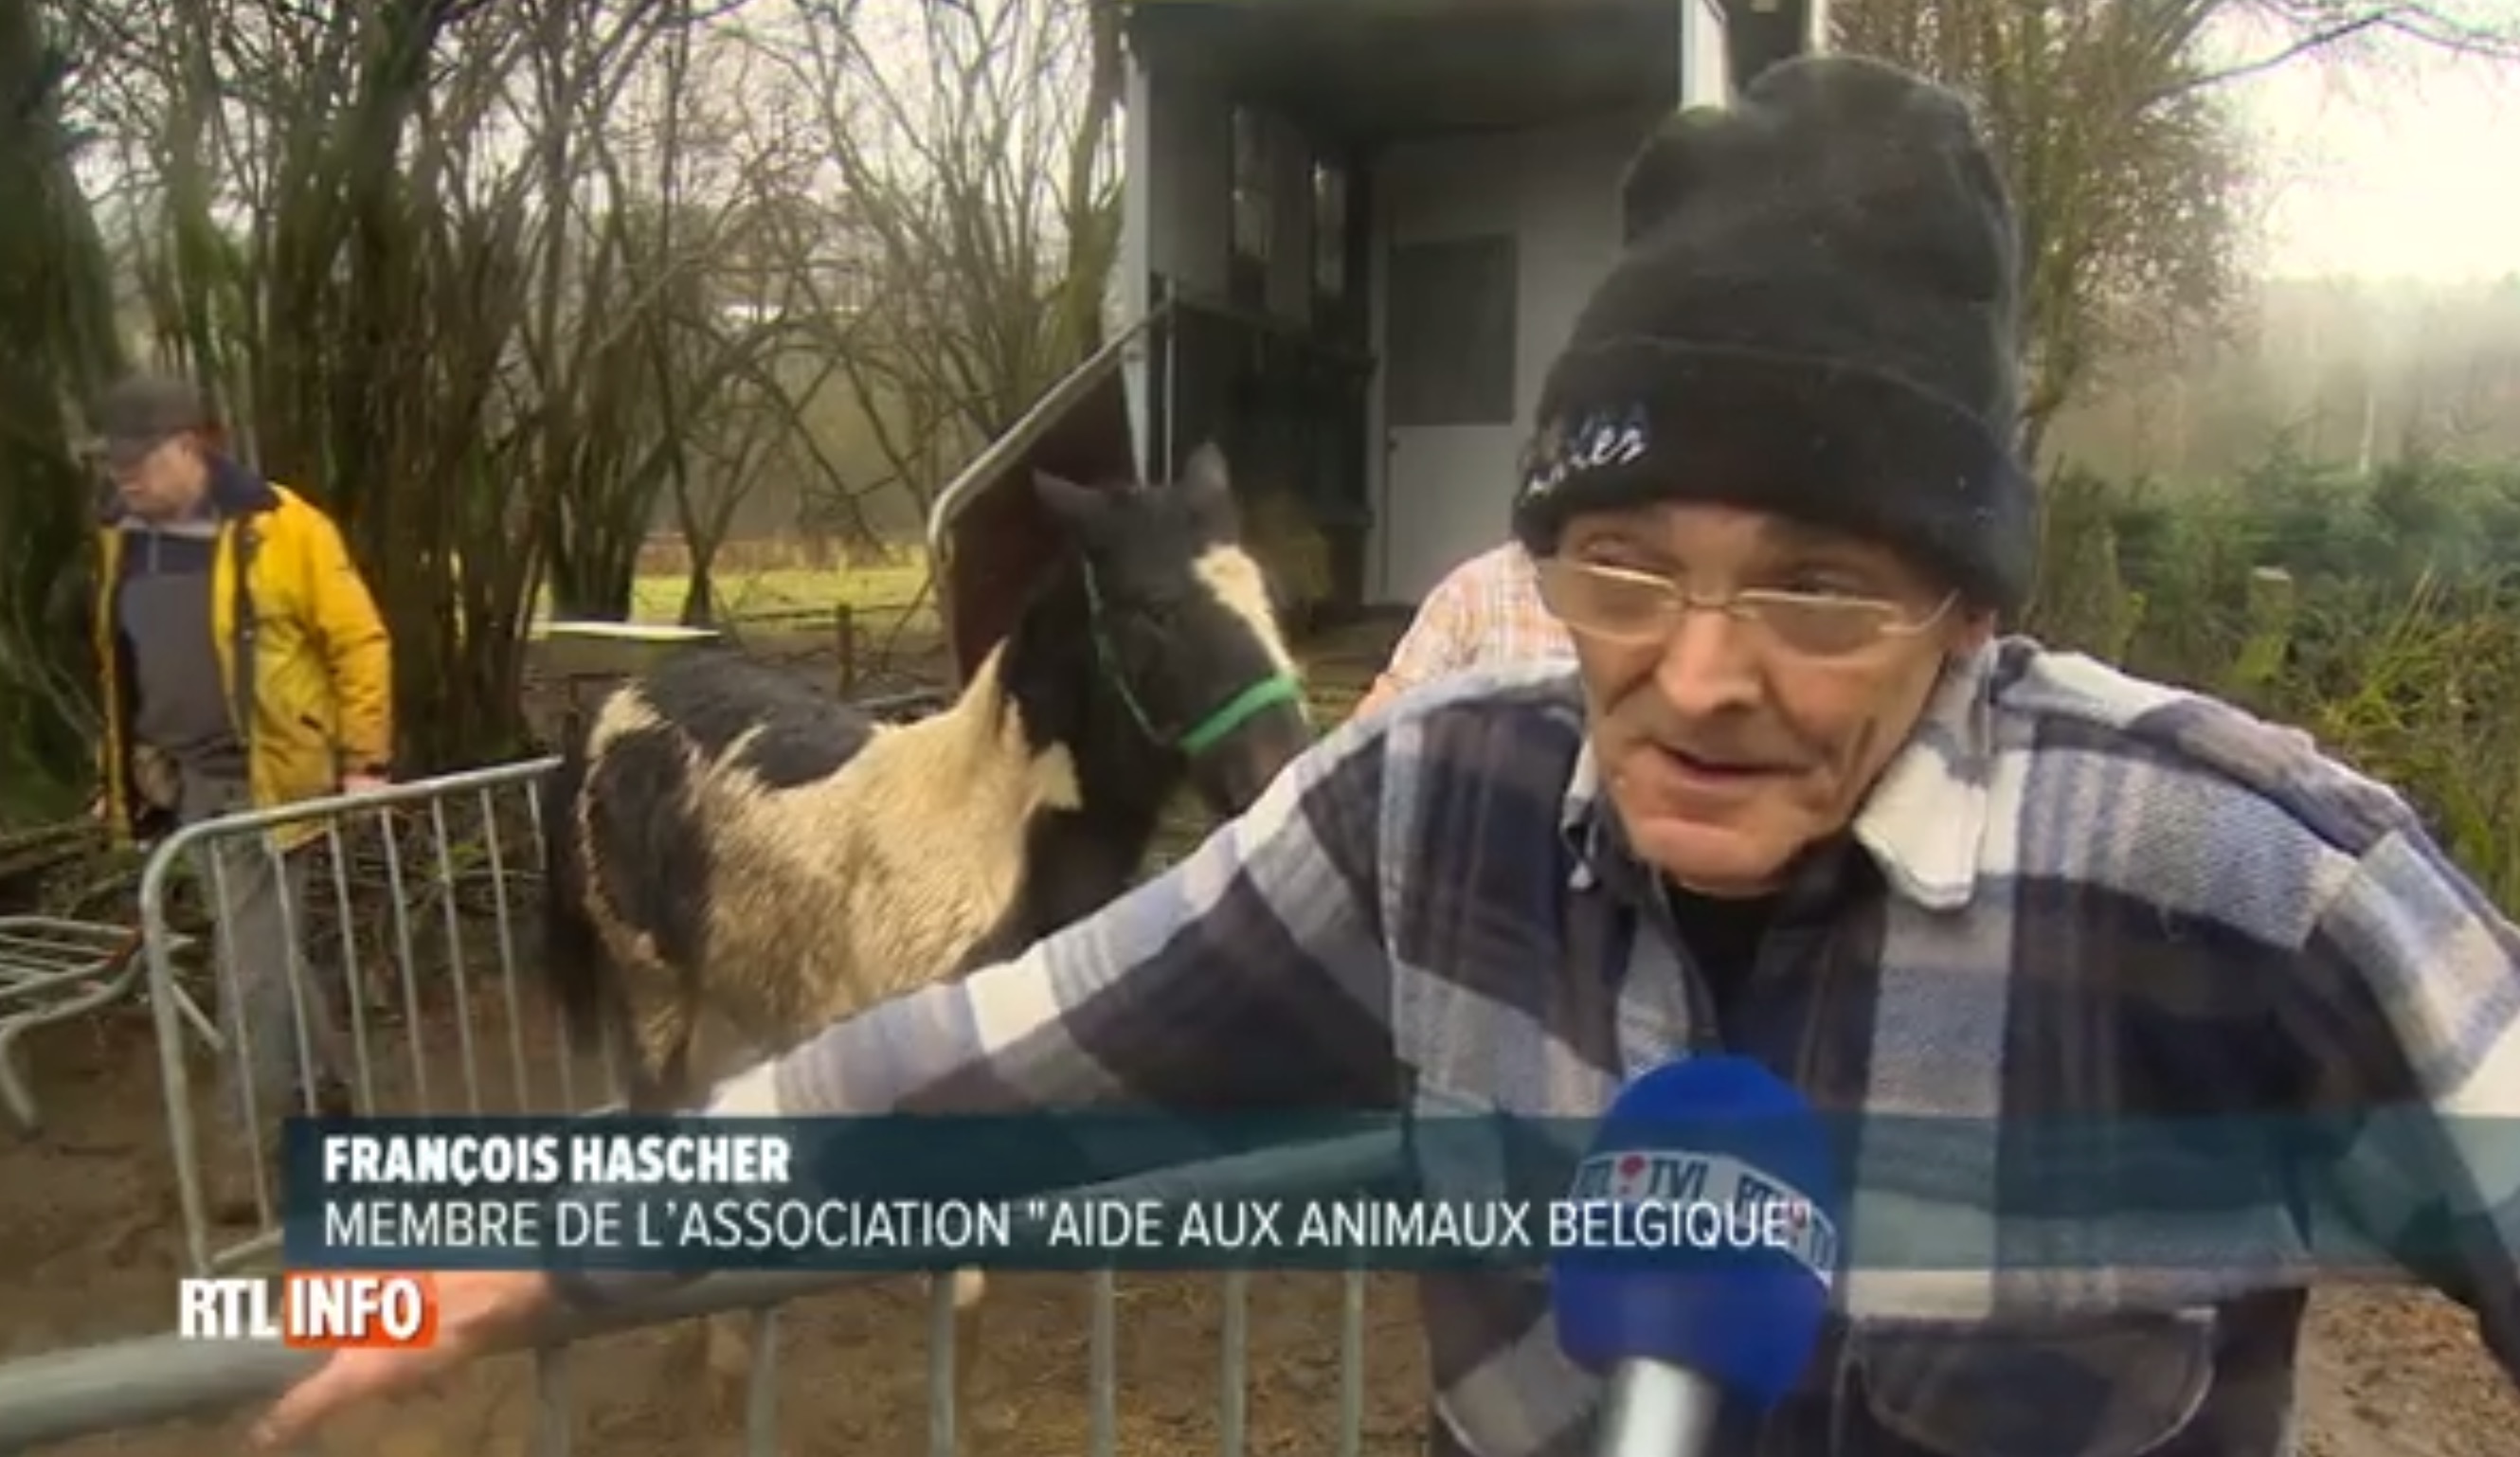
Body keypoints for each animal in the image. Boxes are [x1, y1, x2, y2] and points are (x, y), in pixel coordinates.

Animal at [538, 441, 1312, 1421]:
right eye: (1156, 609)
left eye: (1268, 595)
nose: (1281, 769)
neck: (984, 841)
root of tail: (617, 705)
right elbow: (964, 1303)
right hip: (651, 990)